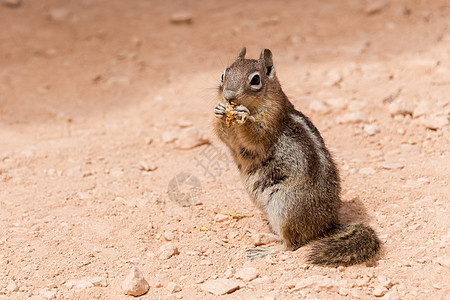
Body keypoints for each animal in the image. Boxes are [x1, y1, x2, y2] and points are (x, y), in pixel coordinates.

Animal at [214, 47, 380, 264]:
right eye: (223, 74)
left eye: (255, 80)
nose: (229, 96)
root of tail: (326, 226)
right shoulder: (230, 137)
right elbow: (223, 136)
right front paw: (219, 111)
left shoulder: (272, 120)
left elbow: (255, 135)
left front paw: (244, 117)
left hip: (285, 207)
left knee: (292, 244)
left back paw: (267, 249)